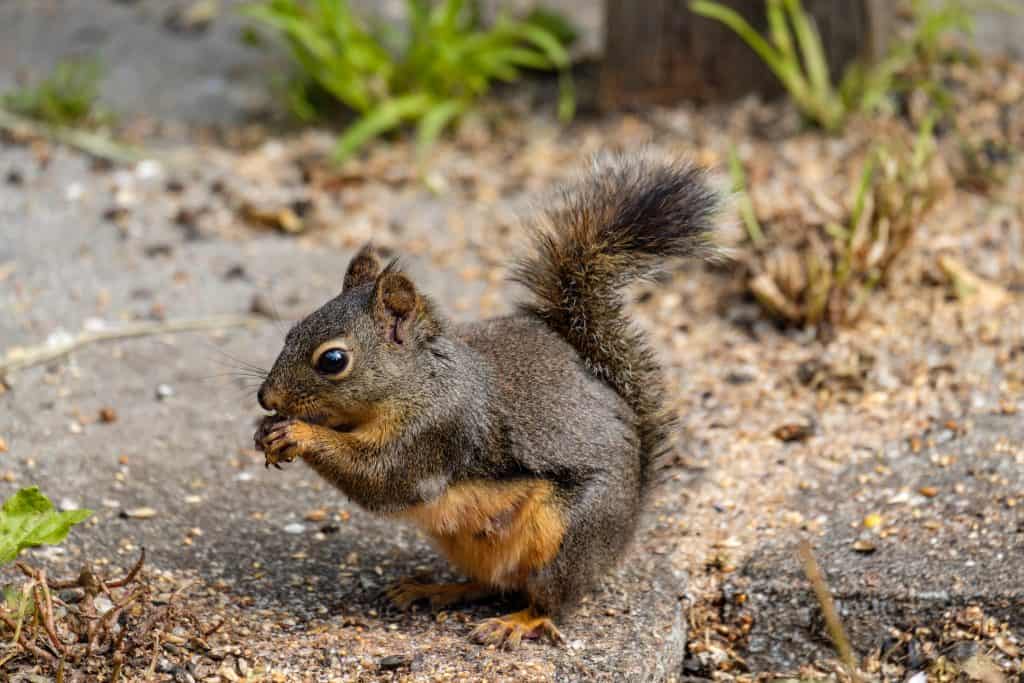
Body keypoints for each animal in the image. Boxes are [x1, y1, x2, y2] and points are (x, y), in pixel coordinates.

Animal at [254, 154, 718, 648]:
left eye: (333, 360)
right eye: (291, 331)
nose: (266, 398)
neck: (419, 382)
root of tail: (629, 523)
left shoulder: (438, 429)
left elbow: (383, 479)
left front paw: (297, 433)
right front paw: (266, 433)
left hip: (566, 536)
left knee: (548, 600)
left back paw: (516, 622)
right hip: (467, 542)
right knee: (491, 582)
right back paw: (435, 589)